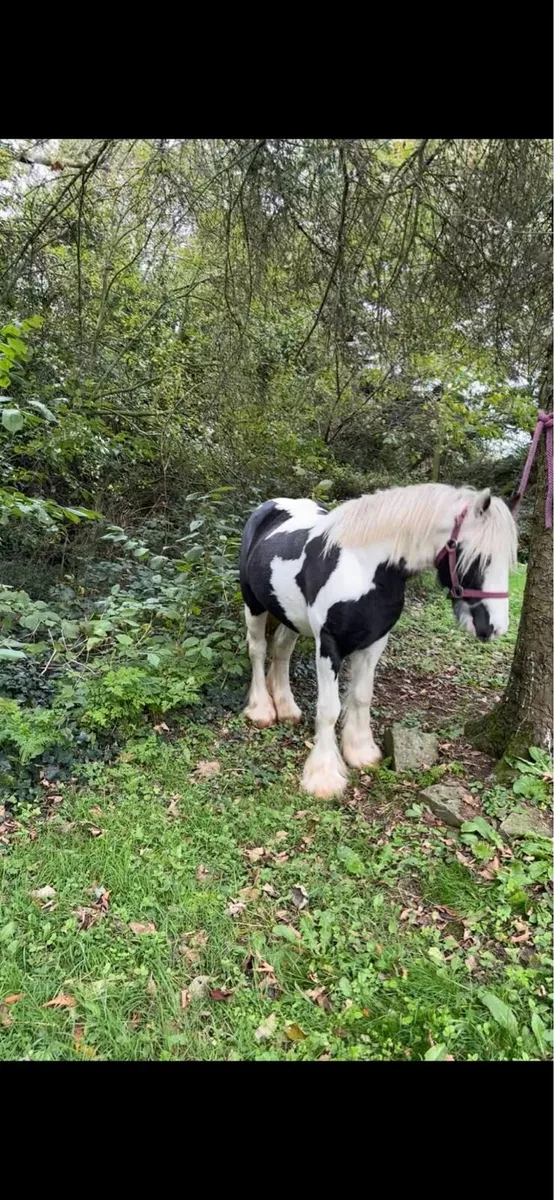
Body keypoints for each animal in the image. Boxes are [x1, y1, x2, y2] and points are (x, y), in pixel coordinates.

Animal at [239, 482, 517, 799]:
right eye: (478, 557)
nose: (495, 627)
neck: (362, 568)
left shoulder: (375, 642)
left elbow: (362, 697)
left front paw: (361, 752)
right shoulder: (329, 645)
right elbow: (329, 709)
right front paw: (324, 777)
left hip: (290, 614)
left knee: (282, 650)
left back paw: (286, 709)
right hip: (253, 603)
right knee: (258, 650)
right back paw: (262, 709)